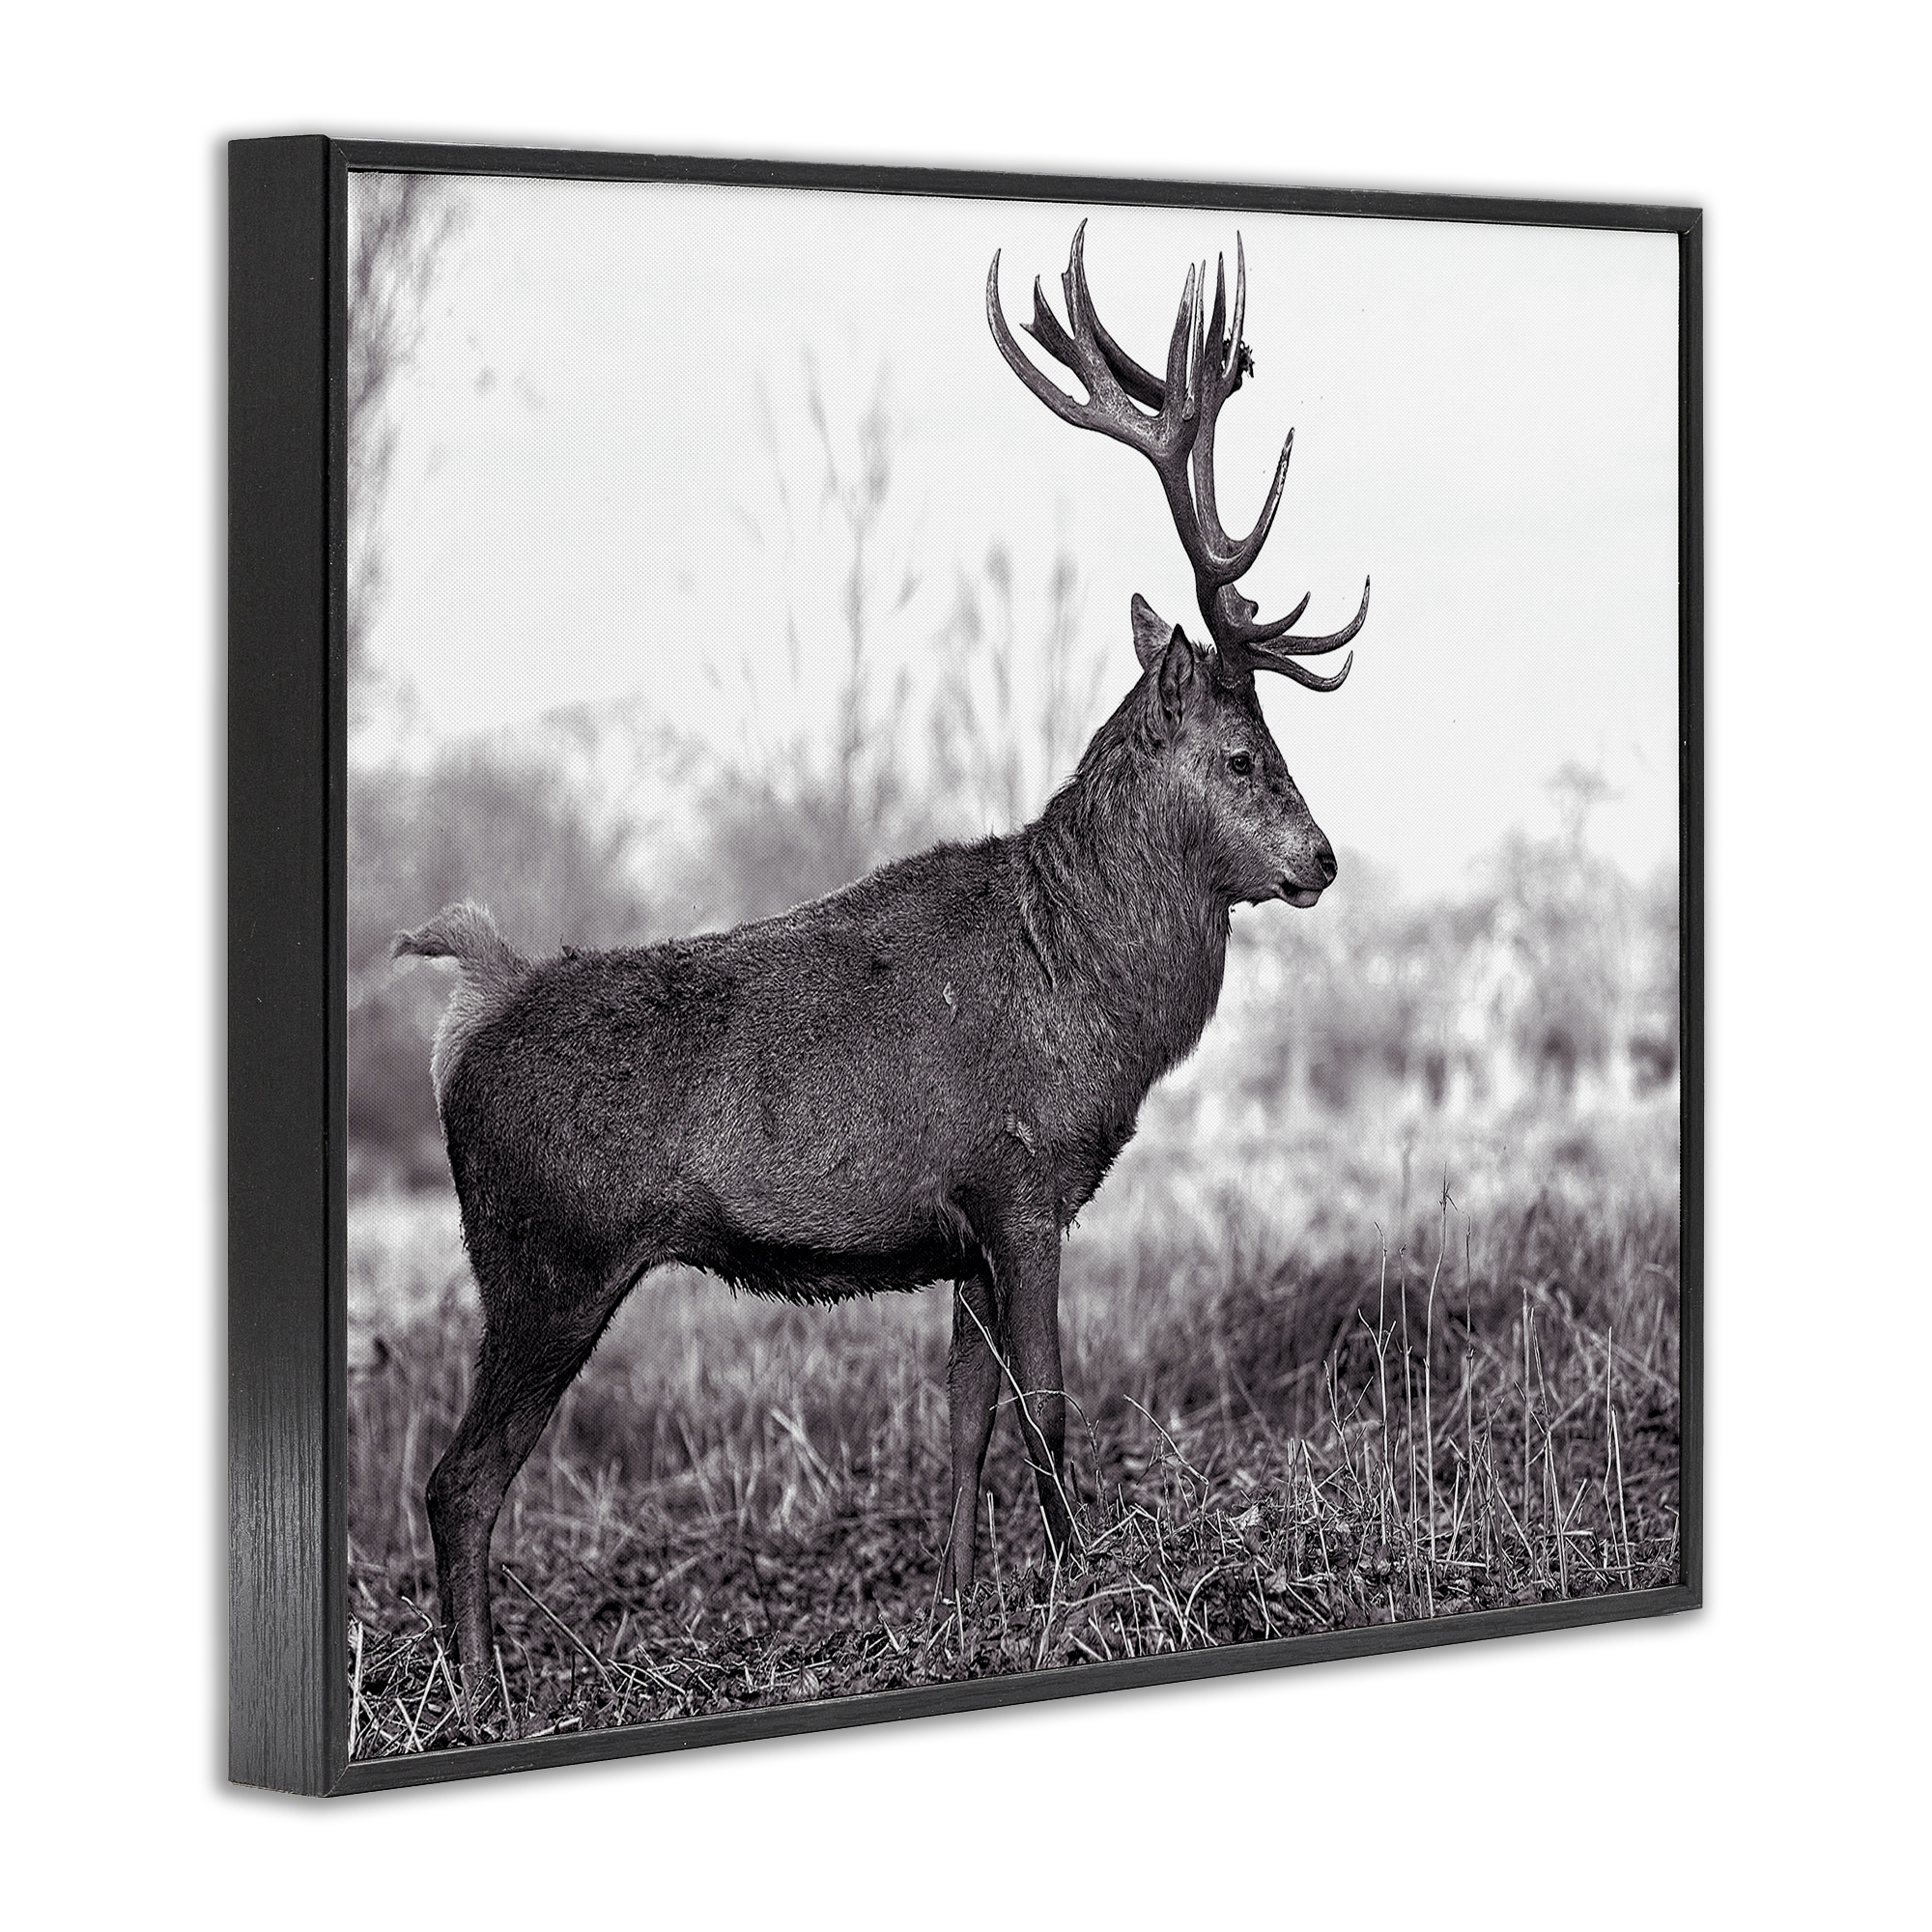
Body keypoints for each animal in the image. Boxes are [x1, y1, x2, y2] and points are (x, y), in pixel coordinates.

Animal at [392, 221, 1368, 1714]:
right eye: (1245, 755)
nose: (1320, 860)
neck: (1086, 995)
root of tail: (468, 1008)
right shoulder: (1023, 1185)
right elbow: (1048, 1406)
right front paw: (1082, 1593)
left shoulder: (959, 1223)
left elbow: (960, 1414)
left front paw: (961, 1607)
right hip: (542, 1258)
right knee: (457, 1480)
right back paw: (482, 1696)